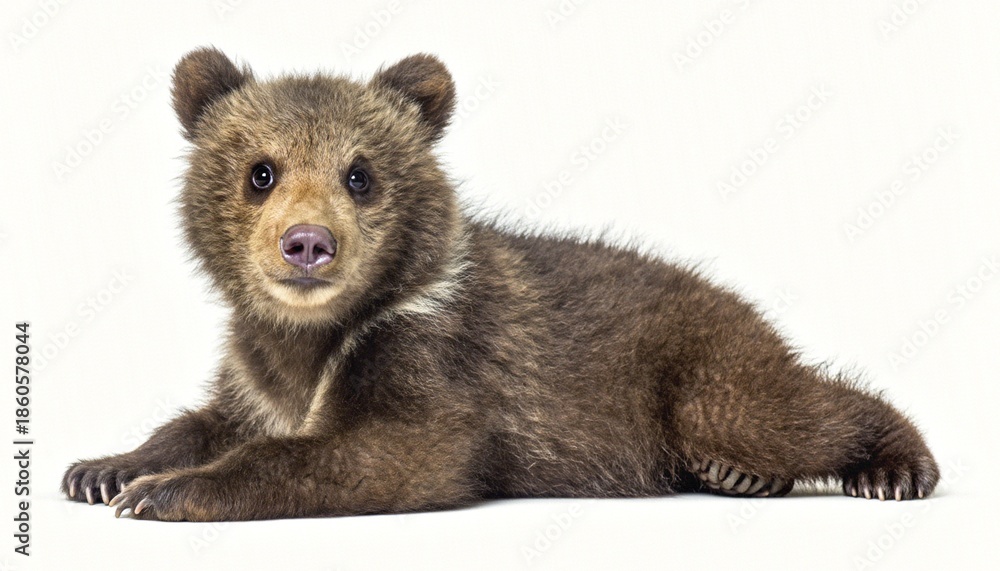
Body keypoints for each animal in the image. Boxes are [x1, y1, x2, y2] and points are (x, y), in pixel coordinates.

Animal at [61, 47, 939, 521]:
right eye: (260, 170)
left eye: (360, 174)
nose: (307, 243)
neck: (313, 335)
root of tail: (744, 305)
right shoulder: (254, 368)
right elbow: (205, 418)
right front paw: (107, 466)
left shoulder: (431, 357)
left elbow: (380, 452)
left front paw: (167, 491)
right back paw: (741, 478)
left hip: (696, 366)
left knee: (774, 410)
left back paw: (894, 467)